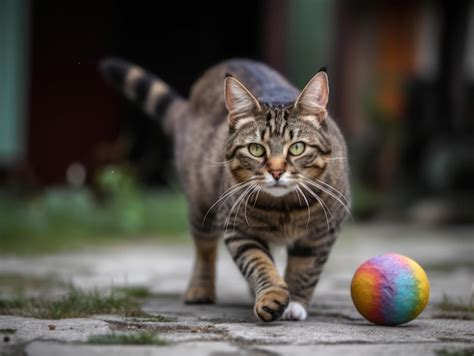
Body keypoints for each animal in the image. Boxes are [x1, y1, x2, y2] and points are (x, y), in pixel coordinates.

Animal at [100, 57, 350, 320]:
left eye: (297, 148)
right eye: (256, 149)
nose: (276, 172)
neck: (284, 207)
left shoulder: (322, 233)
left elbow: (305, 269)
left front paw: (295, 303)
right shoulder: (238, 227)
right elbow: (258, 262)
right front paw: (271, 295)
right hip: (201, 204)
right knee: (205, 248)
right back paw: (201, 289)